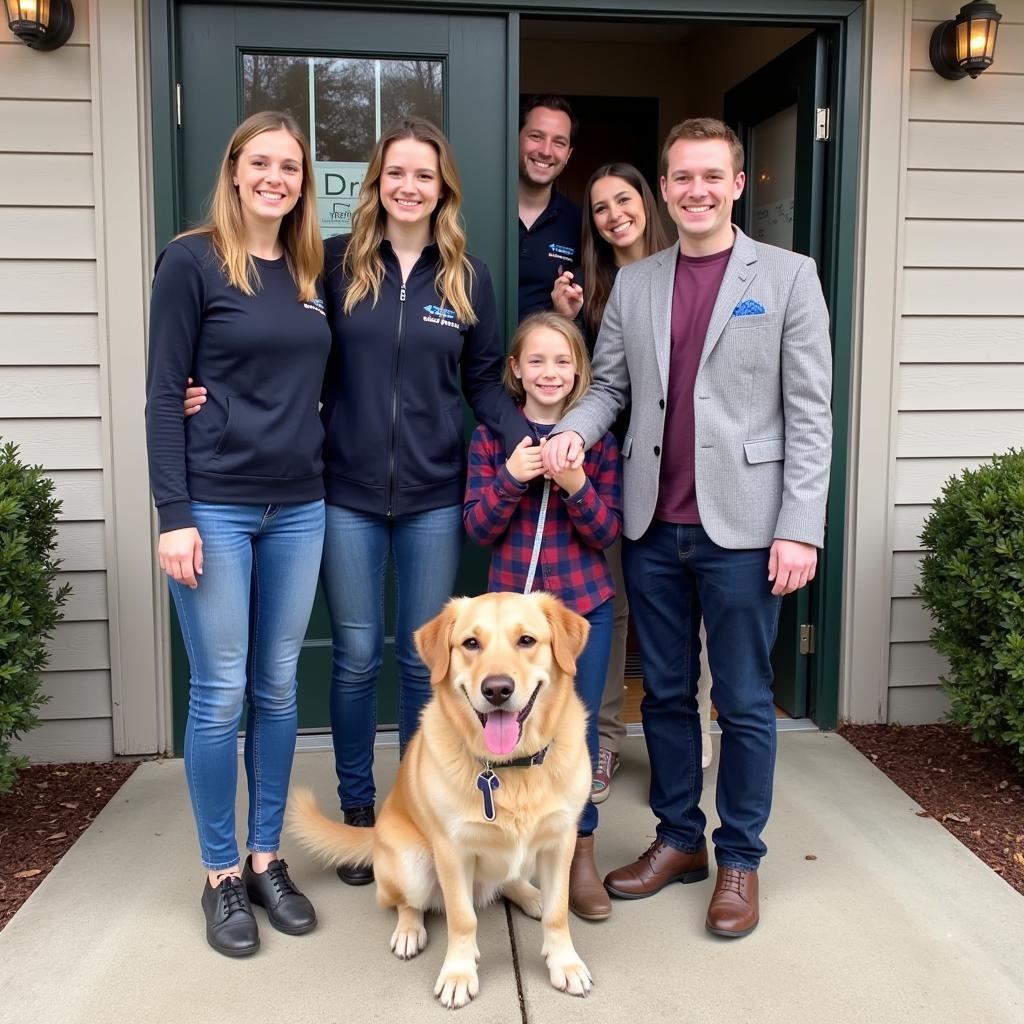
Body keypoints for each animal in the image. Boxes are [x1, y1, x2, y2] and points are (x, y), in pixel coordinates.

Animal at [288, 593, 593, 1007]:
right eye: (471, 643)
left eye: (527, 641)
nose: (497, 689)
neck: (508, 767)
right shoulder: (452, 849)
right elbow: (462, 918)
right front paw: (458, 974)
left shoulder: (561, 841)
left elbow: (558, 912)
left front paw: (565, 963)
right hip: (413, 864)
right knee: (406, 903)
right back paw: (409, 931)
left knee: (510, 882)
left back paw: (532, 895)